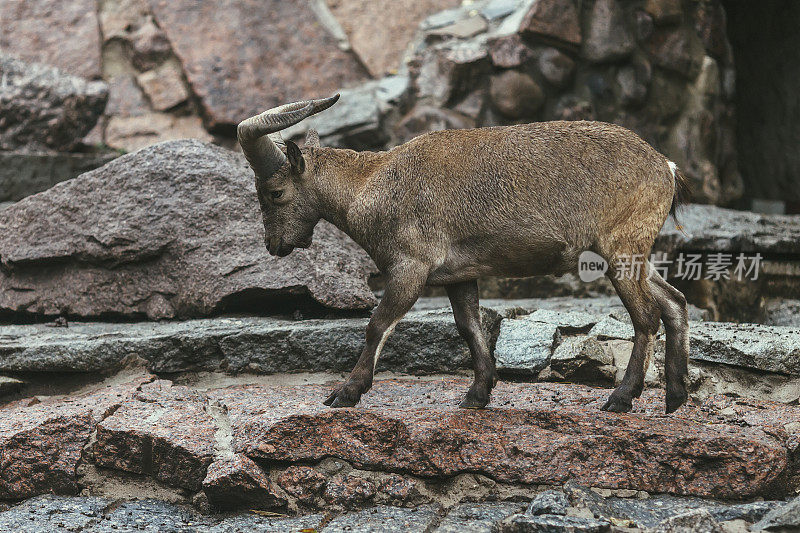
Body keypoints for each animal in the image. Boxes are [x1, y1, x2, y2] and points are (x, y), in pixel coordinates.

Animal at [236, 94, 688, 412]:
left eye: (274, 193)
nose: (274, 245)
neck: (371, 184)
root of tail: (665, 166)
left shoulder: (410, 267)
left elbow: (378, 324)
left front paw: (345, 393)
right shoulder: (459, 275)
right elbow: (469, 328)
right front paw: (477, 394)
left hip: (621, 248)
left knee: (646, 316)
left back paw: (622, 399)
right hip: (636, 254)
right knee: (674, 302)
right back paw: (675, 397)